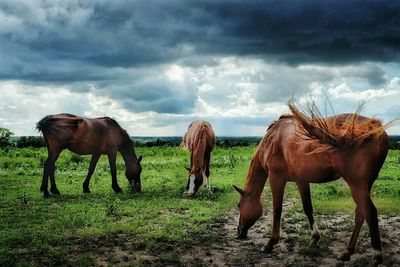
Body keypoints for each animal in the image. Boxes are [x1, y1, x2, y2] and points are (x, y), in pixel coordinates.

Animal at [233, 102, 390, 266]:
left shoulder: (276, 178)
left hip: (356, 184)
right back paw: (347, 251)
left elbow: (277, 210)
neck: (272, 140)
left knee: (370, 212)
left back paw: (376, 257)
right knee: (360, 213)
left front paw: (270, 243)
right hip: (366, 184)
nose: (239, 232)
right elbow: (307, 207)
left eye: (239, 205)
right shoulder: (301, 180)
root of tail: (375, 127)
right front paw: (314, 238)